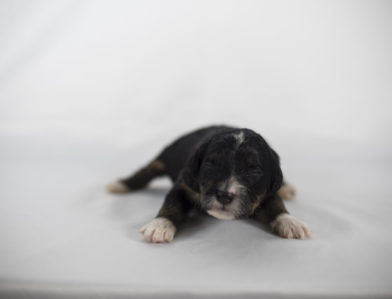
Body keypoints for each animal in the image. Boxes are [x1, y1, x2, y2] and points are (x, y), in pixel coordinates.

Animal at [106, 126, 310, 244]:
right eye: (211, 164)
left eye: (254, 171)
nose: (224, 196)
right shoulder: (184, 184)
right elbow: (172, 204)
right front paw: (160, 225)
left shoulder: (267, 192)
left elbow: (276, 204)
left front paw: (290, 222)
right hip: (165, 156)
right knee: (147, 170)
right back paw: (120, 184)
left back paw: (286, 187)